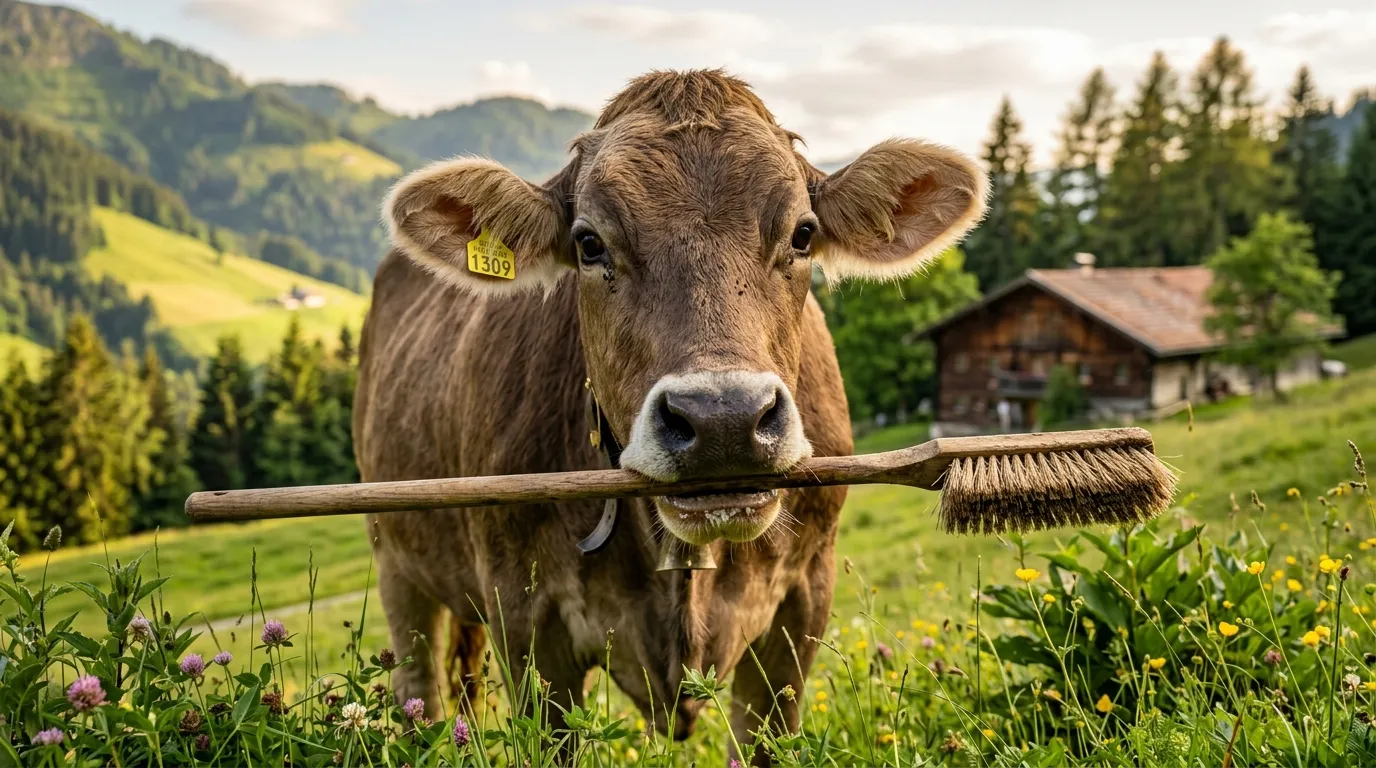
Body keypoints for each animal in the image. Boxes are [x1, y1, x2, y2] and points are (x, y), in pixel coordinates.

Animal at [354, 70, 986, 761]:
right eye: (589, 243)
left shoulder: (803, 604)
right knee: (419, 686)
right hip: (395, 562)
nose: (724, 420)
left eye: (802, 234)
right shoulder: (525, 621)